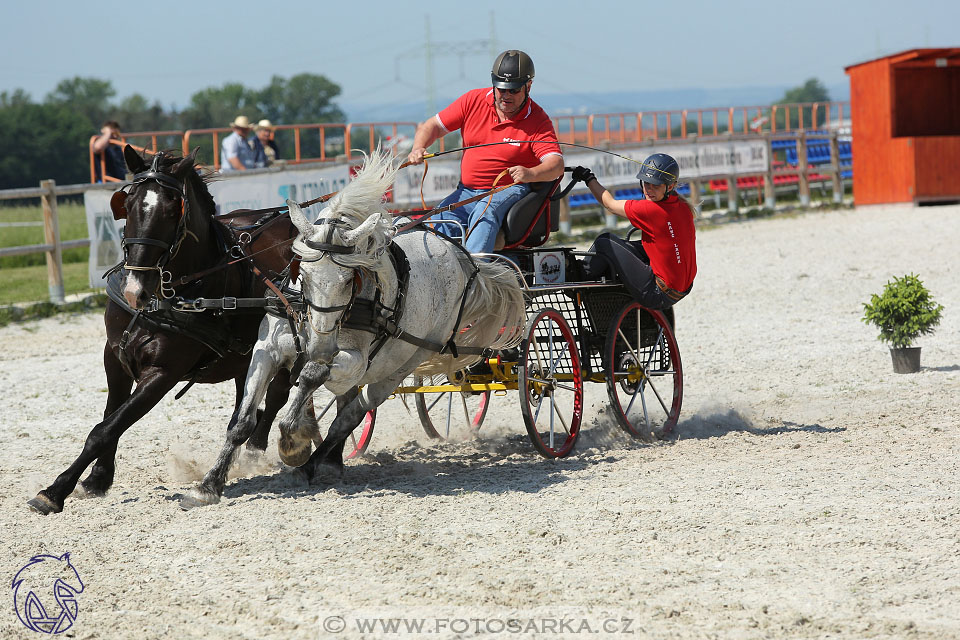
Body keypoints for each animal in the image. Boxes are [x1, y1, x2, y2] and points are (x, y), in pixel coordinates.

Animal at [29, 146, 300, 516]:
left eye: (173, 210)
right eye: (126, 204)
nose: (135, 290)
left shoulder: (163, 372)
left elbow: (105, 428)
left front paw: (56, 490)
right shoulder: (114, 357)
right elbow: (110, 417)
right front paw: (98, 478)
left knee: (276, 395)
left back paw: (255, 453)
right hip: (244, 359)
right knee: (248, 402)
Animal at [182, 150, 524, 504]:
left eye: (350, 279)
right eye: (302, 273)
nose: (319, 345)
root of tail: (459, 254)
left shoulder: (354, 360)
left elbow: (312, 376)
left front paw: (292, 441)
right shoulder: (268, 349)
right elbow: (243, 420)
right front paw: (209, 484)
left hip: (401, 365)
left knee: (350, 415)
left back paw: (309, 465)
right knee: (344, 404)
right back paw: (328, 461)